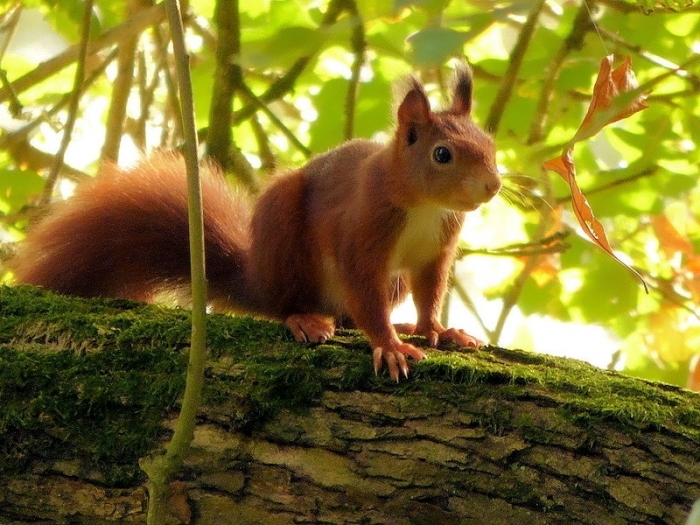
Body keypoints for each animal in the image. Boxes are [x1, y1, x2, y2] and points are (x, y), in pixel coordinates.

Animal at [11, 62, 500, 381]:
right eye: (442, 154)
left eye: (490, 144)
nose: (493, 186)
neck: (425, 205)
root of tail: (258, 279)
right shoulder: (362, 229)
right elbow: (364, 287)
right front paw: (390, 346)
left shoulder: (436, 250)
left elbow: (430, 292)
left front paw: (436, 331)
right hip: (283, 232)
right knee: (287, 303)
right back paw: (303, 319)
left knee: (349, 312)